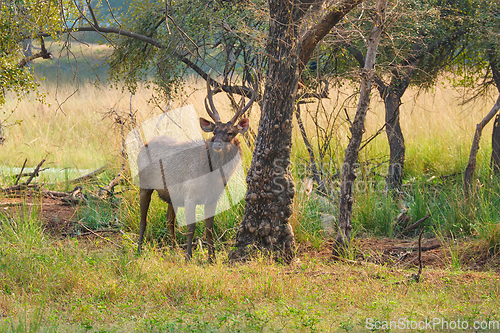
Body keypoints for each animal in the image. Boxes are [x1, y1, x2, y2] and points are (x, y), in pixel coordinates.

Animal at [136, 72, 254, 260]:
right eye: (215, 131)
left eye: (230, 132)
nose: (217, 144)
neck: (211, 178)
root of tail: (143, 146)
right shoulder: (190, 193)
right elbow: (191, 227)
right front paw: (189, 256)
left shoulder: (213, 198)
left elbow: (209, 228)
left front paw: (212, 257)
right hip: (144, 184)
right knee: (143, 219)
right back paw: (139, 249)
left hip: (171, 194)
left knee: (169, 220)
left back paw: (175, 249)